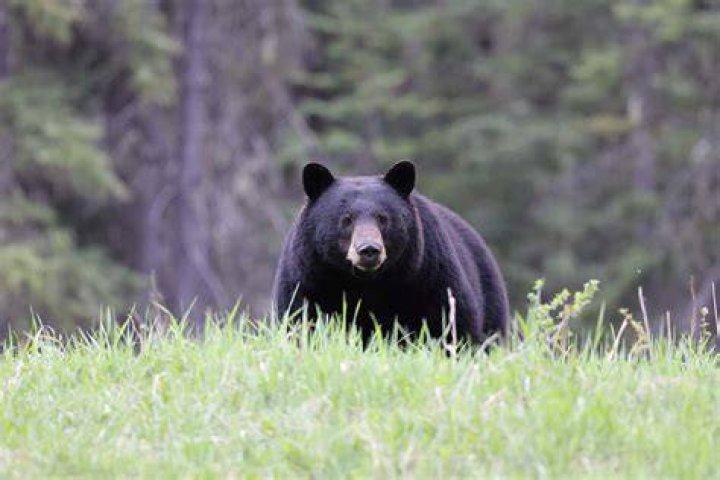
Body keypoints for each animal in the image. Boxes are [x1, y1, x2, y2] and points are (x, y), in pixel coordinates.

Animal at [272, 161, 510, 346]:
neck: (366, 283)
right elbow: (300, 322)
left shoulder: (429, 276)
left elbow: (452, 324)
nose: (368, 249)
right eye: (346, 219)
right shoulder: (308, 280)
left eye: (383, 218)